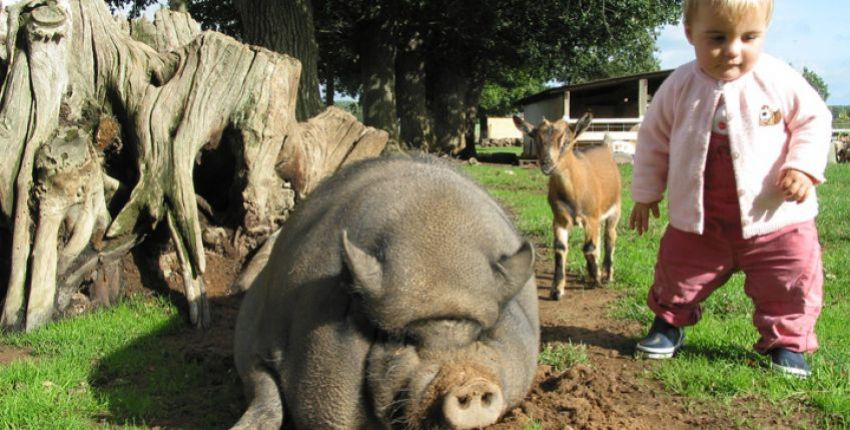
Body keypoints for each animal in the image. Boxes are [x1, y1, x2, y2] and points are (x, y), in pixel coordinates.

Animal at [512, 115, 620, 302]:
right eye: (537, 139)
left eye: (567, 141)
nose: (547, 163)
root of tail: (605, 147)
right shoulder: (559, 218)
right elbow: (560, 248)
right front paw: (556, 291)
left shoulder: (590, 216)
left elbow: (588, 247)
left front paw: (597, 280)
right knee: (599, 239)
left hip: (615, 209)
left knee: (610, 236)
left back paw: (607, 276)